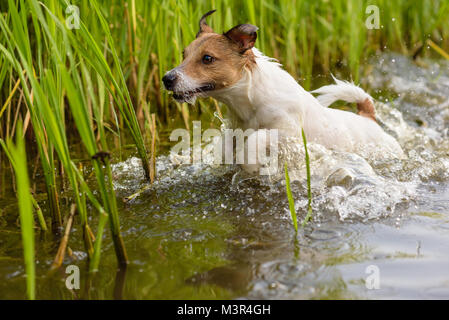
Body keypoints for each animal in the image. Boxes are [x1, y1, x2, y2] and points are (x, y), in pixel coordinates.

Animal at [162, 10, 402, 172]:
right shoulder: (235, 129)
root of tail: (368, 117)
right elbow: (226, 145)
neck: (250, 101)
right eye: (184, 54)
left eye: (207, 58)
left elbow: (258, 138)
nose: (166, 79)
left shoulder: (290, 134)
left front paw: (250, 163)